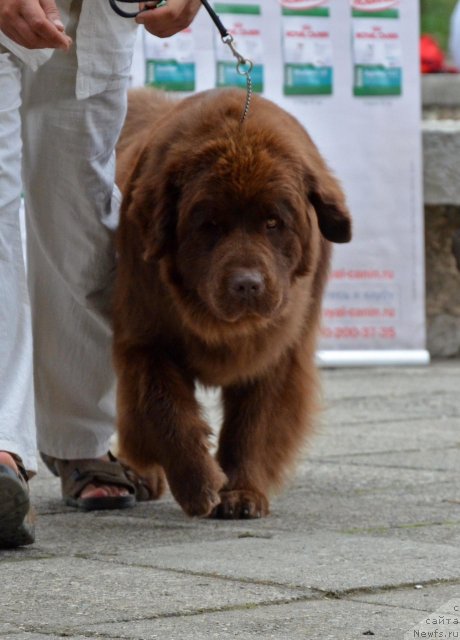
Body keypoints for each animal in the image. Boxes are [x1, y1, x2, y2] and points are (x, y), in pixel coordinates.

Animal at [113, 87, 350, 516]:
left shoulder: (277, 353)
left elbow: (253, 423)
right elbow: (162, 408)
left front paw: (240, 491)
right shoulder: (144, 338)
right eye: (210, 225)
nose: (247, 285)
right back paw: (139, 473)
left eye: (273, 222)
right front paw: (198, 483)